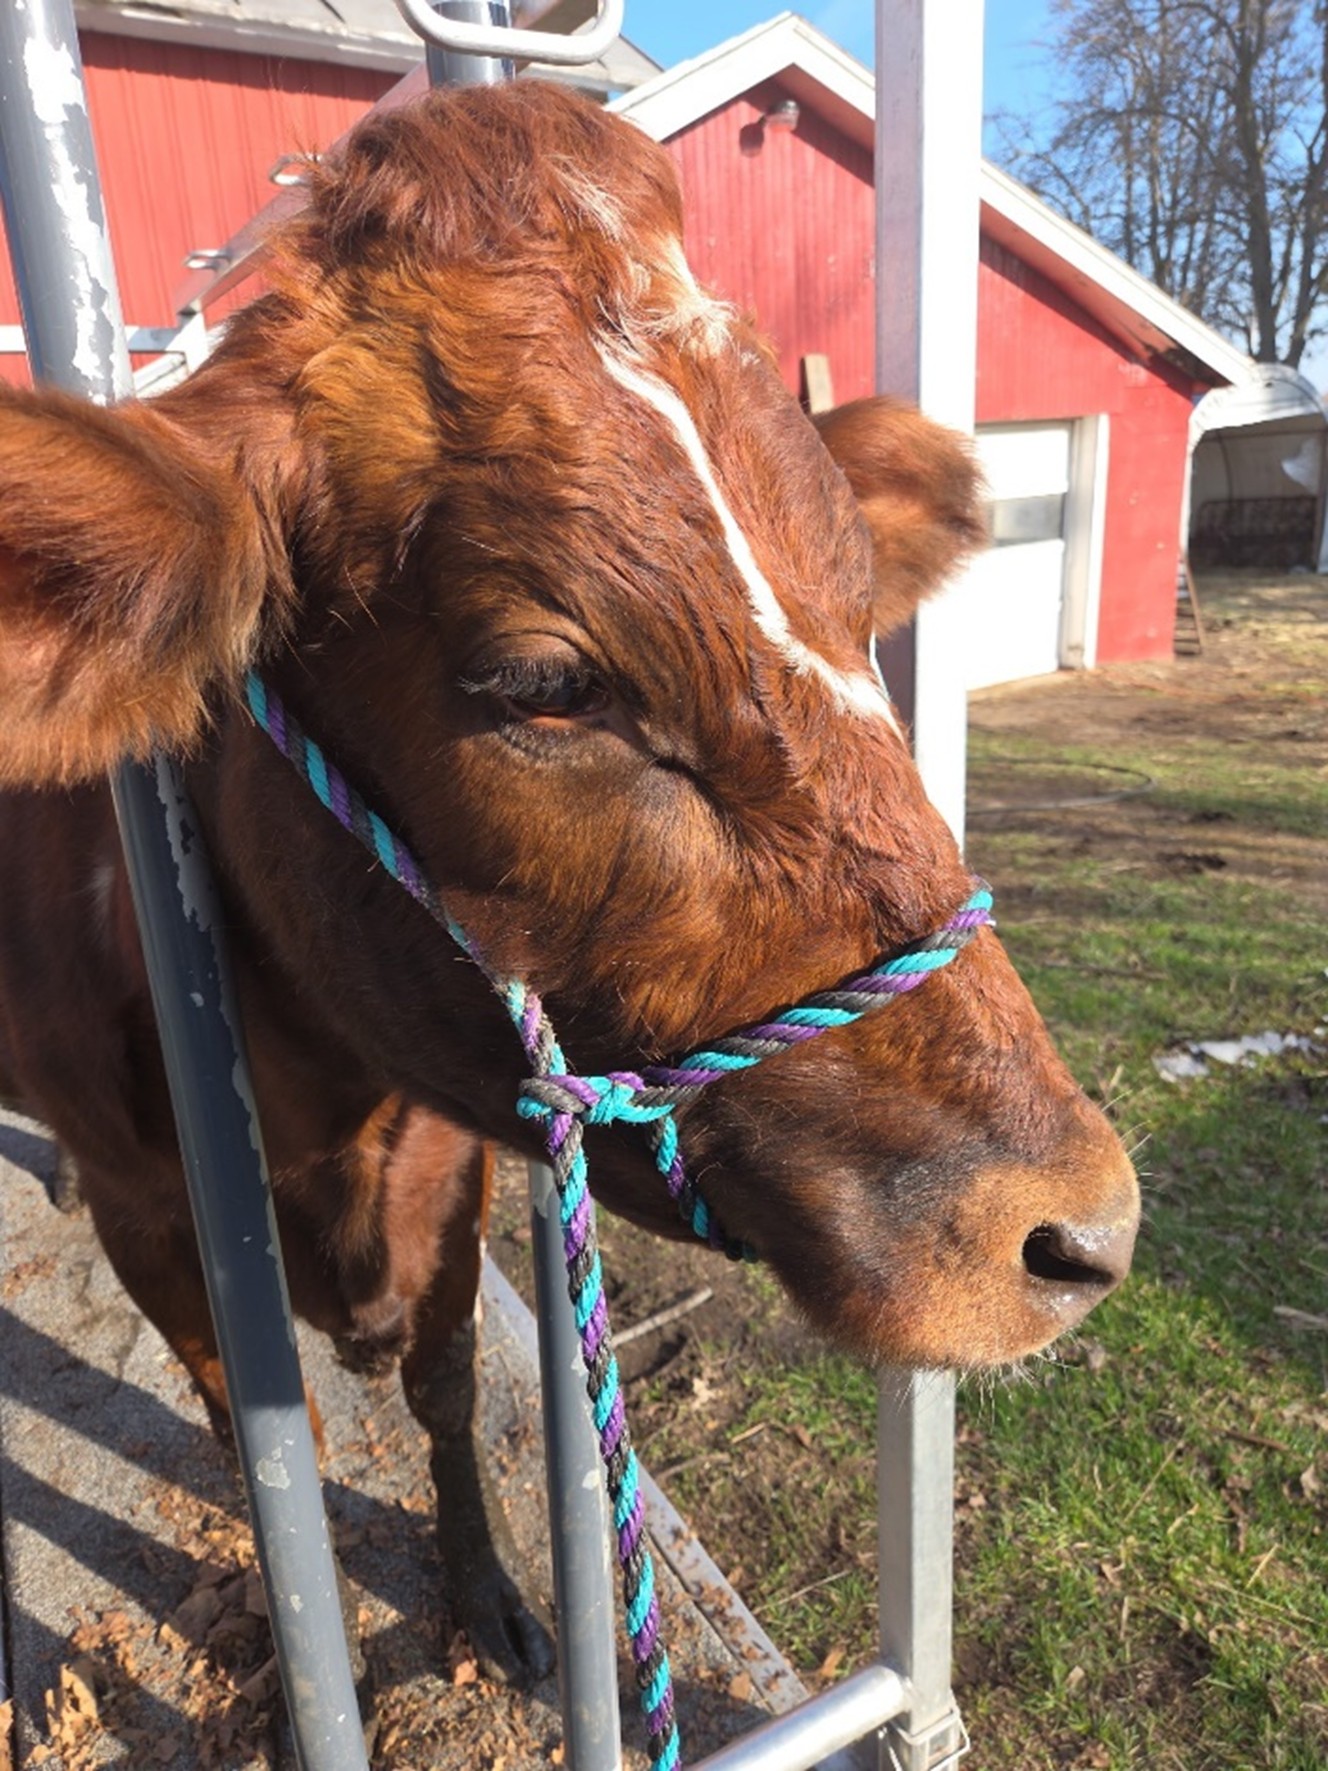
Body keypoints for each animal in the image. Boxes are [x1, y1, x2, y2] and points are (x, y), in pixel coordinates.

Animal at [0, 81, 1139, 1684]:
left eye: (864, 608)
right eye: (546, 684)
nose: (1082, 1227)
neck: (321, 1116)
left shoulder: (444, 1154)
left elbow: (442, 1393)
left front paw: (485, 1591)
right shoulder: (152, 1212)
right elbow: (251, 1432)